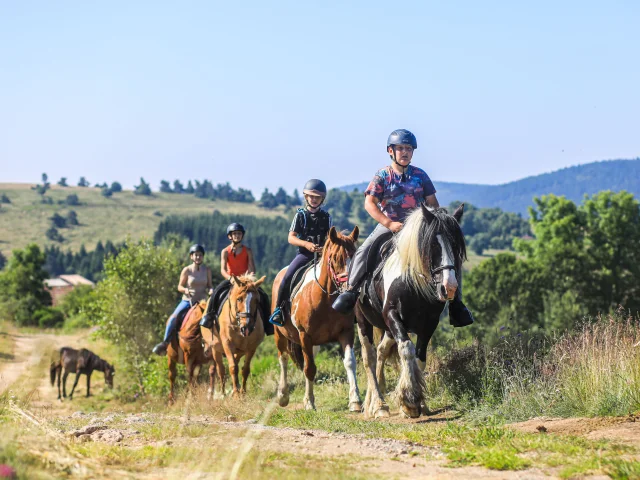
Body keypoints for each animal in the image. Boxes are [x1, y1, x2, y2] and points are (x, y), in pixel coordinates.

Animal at [272, 227, 362, 410]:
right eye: (335, 258)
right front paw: (309, 402)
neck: (326, 300)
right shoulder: (305, 335)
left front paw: (355, 401)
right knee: (283, 358)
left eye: (355, 255)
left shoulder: (346, 332)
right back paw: (283, 395)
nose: (351, 289)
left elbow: (350, 362)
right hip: (279, 333)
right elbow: (310, 368)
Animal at [356, 204, 464, 418]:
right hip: (363, 322)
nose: (449, 287)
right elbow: (406, 349)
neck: (411, 282)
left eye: (456, 245)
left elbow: (420, 358)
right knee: (368, 358)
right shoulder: (392, 316)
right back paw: (378, 405)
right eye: (432, 245)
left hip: (388, 330)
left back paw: (375, 402)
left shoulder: (429, 323)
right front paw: (409, 402)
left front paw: (421, 403)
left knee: (381, 352)